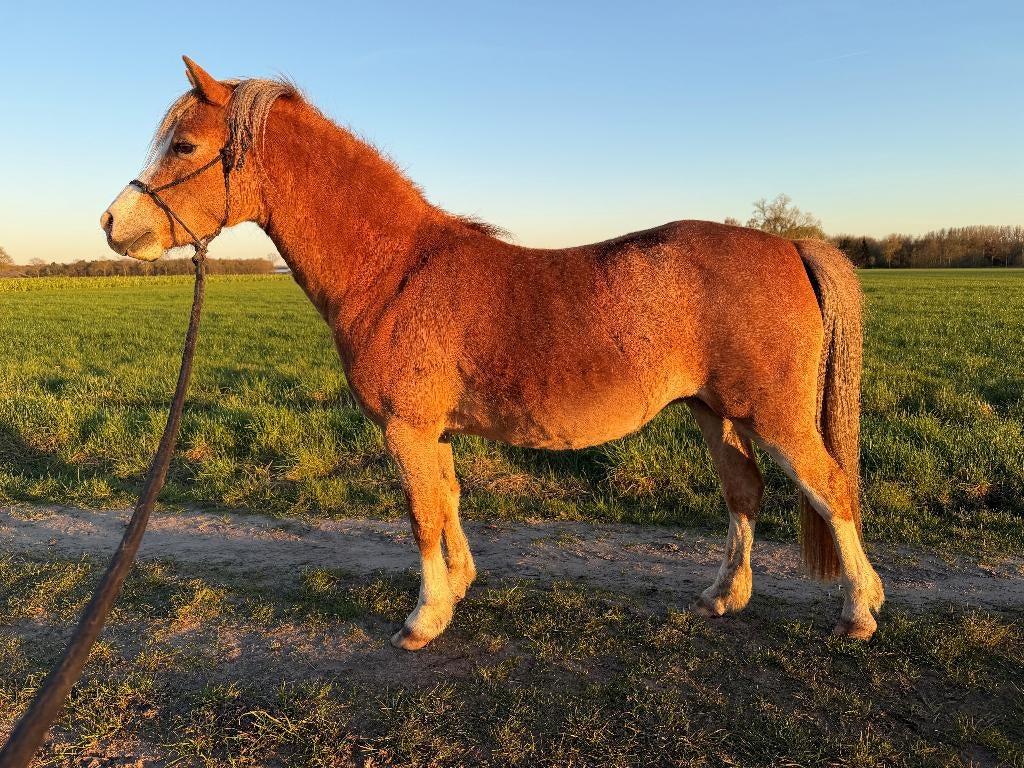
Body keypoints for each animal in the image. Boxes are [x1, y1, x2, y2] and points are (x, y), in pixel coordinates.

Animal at [100, 57, 885, 650]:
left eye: (184, 146)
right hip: (713, 411)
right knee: (744, 493)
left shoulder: (406, 429)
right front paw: (457, 589)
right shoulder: (432, 432)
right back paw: (726, 595)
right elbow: (447, 501)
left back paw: (859, 610)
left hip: (775, 416)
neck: (397, 269)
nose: (112, 223)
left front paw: (423, 620)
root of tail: (789, 244)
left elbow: (421, 514)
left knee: (830, 486)